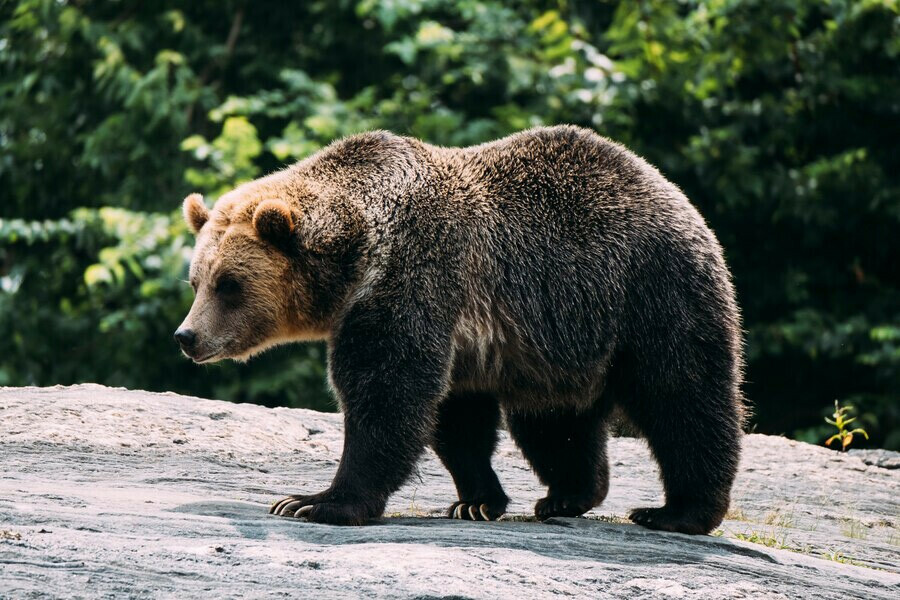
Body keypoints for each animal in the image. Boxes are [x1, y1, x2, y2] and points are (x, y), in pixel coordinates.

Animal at [176, 125, 744, 536]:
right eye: (197, 280)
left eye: (229, 284)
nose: (187, 337)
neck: (356, 258)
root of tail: (671, 191)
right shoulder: (464, 335)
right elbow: (454, 417)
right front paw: (476, 502)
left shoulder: (413, 282)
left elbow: (387, 396)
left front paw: (312, 501)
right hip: (559, 341)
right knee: (554, 421)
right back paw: (567, 494)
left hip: (649, 293)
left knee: (682, 396)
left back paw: (678, 511)